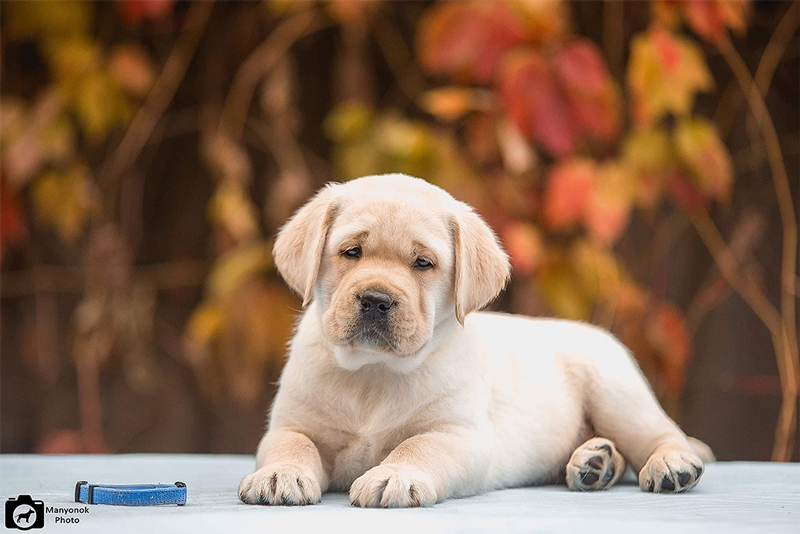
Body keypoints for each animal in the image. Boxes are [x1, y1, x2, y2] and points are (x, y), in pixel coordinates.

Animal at [239, 174, 712, 508]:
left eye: (423, 263)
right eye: (351, 252)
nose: (375, 300)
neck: (373, 370)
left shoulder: (461, 434)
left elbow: (418, 446)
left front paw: (395, 476)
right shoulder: (292, 423)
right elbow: (291, 443)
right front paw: (280, 474)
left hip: (617, 393)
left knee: (662, 433)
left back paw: (669, 464)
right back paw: (595, 463)